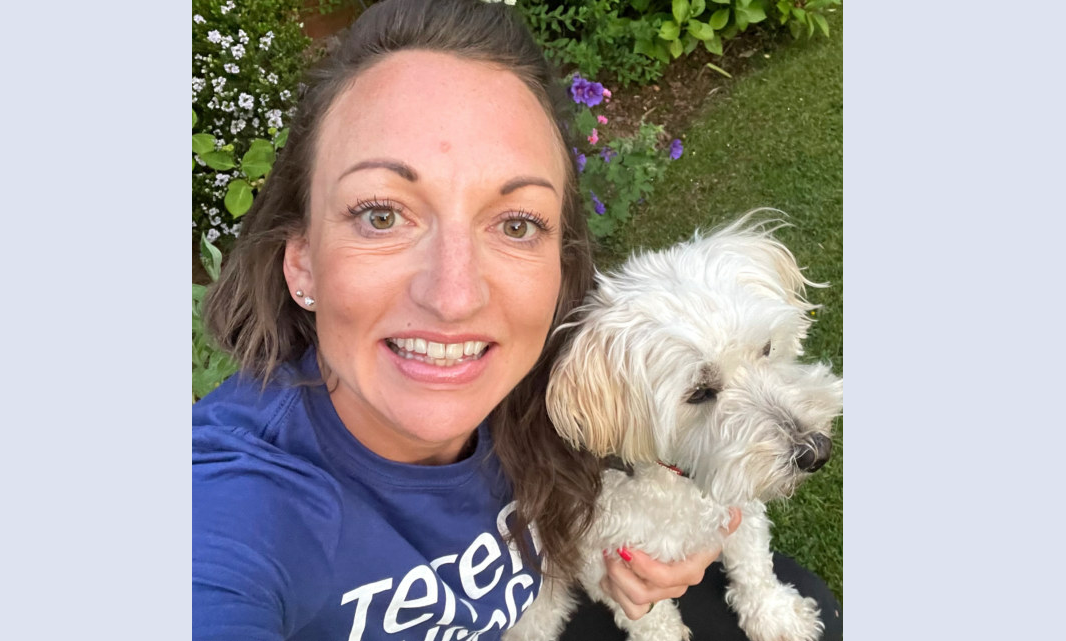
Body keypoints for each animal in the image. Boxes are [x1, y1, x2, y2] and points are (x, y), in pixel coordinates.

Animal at [503, 216, 844, 639]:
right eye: (699, 393)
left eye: (766, 349)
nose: (816, 452)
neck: (680, 481)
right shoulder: (606, 562)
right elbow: (647, 615)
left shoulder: (739, 504)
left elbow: (753, 564)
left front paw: (774, 615)